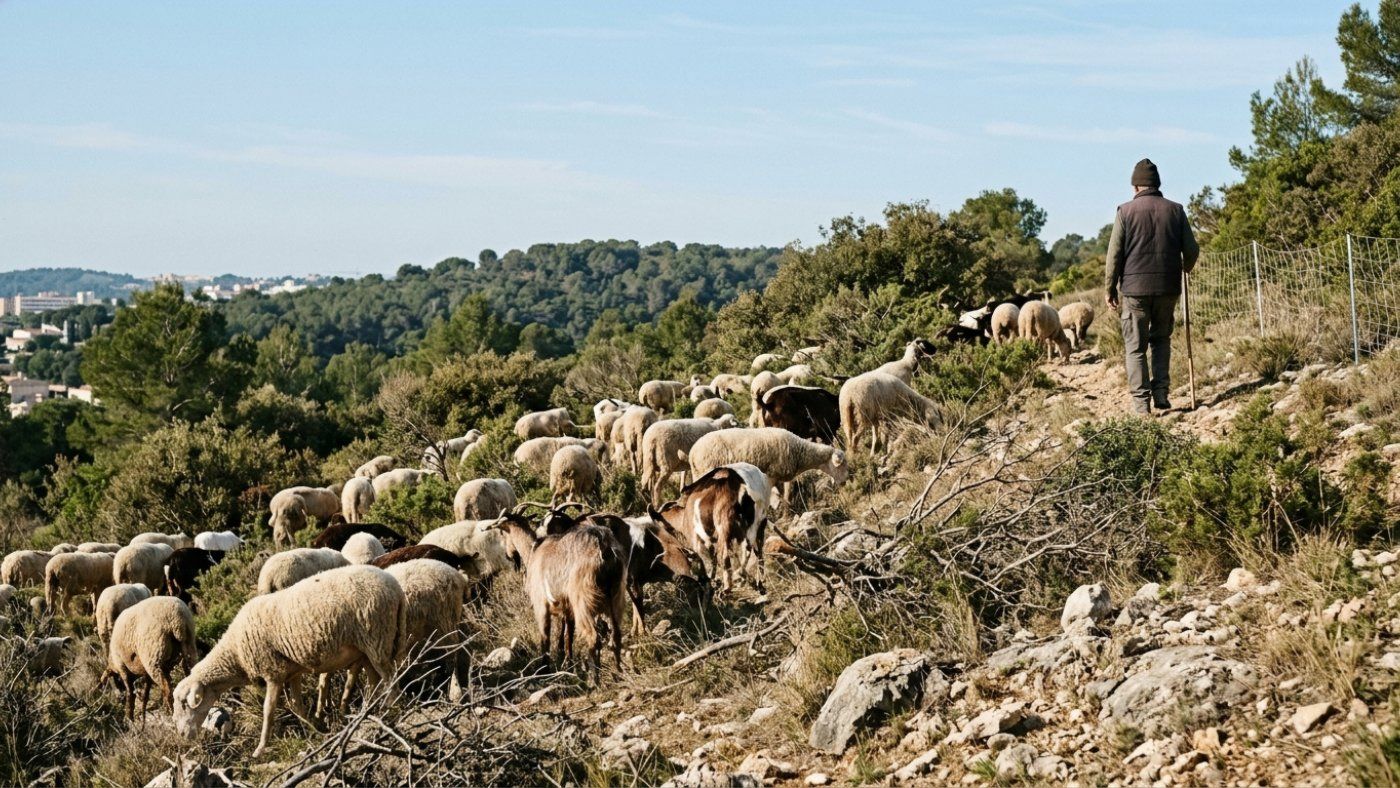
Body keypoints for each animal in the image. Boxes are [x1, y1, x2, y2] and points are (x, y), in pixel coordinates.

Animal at [172, 565, 405, 757]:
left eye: (184, 704)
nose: (182, 735)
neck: (235, 652)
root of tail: (396, 588)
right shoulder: (292, 672)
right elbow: (297, 706)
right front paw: (314, 730)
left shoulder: (272, 672)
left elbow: (268, 711)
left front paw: (260, 749)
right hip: (366, 647)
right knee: (374, 680)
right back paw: (369, 711)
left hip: (376, 636)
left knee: (391, 679)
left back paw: (390, 710)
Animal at [492, 516, 628, 682]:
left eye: (502, 533)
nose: (508, 556)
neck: (534, 552)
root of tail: (604, 547)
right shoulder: (568, 610)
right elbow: (568, 636)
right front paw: (568, 665)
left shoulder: (541, 605)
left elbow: (545, 637)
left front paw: (544, 670)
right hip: (615, 598)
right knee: (616, 636)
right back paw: (619, 675)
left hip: (583, 602)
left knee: (593, 637)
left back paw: (593, 680)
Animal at [688, 427, 850, 505]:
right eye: (841, 465)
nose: (846, 481)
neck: (800, 452)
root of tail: (692, 453)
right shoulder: (773, 474)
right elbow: (781, 494)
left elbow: (786, 492)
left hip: (699, 474)